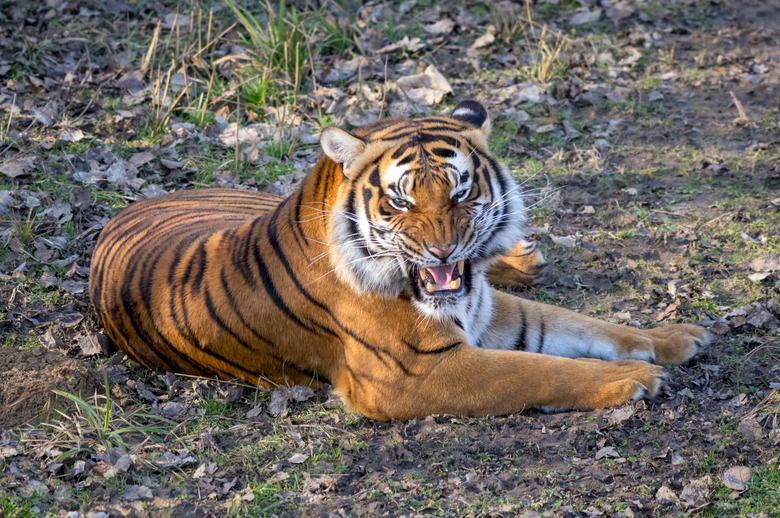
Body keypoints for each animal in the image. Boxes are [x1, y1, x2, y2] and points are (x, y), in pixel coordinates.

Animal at [90, 100, 708, 422]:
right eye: (401, 201)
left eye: (460, 192)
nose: (444, 251)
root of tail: (130, 206)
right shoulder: (412, 373)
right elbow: (539, 371)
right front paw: (636, 378)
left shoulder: (493, 310)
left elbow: (589, 326)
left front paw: (676, 338)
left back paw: (521, 256)